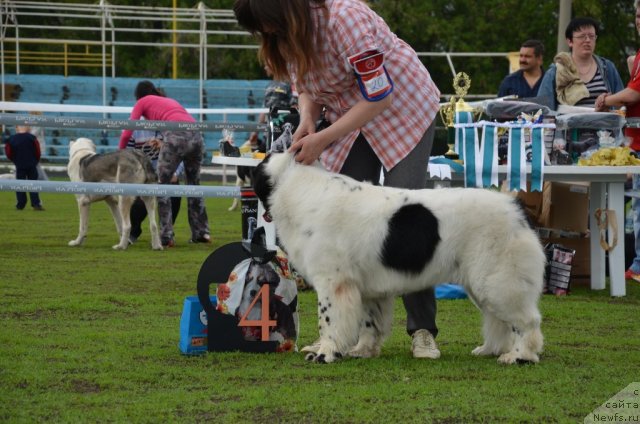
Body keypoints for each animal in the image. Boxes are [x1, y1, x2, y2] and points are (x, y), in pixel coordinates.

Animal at [254, 152, 544, 364]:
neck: (297, 187)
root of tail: (515, 209)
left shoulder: (333, 282)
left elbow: (329, 320)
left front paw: (325, 353)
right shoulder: (365, 288)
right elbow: (369, 322)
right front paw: (363, 350)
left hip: (499, 281)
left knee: (526, 321)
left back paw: (519, 356)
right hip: (484, 283)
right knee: (500, 321)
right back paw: (491, 349)